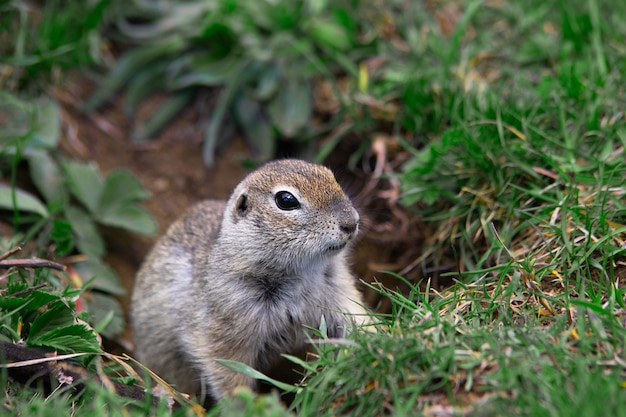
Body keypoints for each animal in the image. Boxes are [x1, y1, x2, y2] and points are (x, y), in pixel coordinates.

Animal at [132, 158, 366, 400]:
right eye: (286, 200)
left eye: (331, 177)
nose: (351, 222)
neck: (301, 270)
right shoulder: (225, 325)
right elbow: (228, 371)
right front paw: (245, 403)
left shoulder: (339, 290)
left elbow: (356, 318)